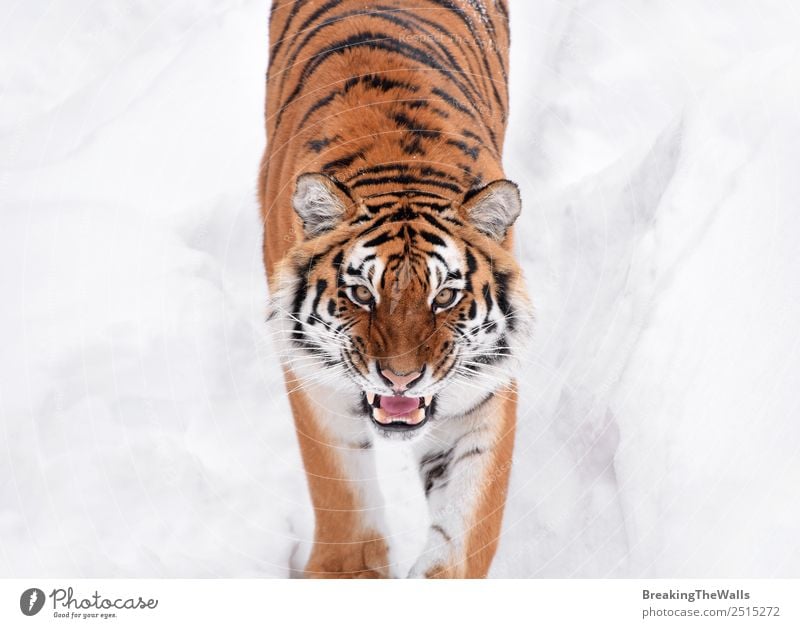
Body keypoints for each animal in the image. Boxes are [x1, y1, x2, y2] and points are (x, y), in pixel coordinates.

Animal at [258, 0, 532, 580]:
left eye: (445, 297)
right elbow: (341, 490)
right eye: (363, 295)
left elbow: (464, 531)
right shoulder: (313, 378)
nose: (401, 378)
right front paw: (349, 570)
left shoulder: (483, 390)